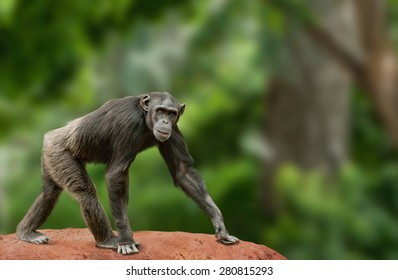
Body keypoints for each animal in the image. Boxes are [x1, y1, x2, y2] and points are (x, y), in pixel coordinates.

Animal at [17, 92, 238, 254]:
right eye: (160, 111)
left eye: (171, 113)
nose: (165, 122)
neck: (144, 116)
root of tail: (51, 135)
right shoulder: (127, 125)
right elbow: (115, 175)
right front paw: (125, 240)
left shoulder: (175, 131)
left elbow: (183, 171)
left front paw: (220, 225)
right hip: (59, 152)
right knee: (85, 193)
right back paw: (108, 240)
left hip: (51, 158)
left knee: (49, 193)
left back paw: (26, 232)